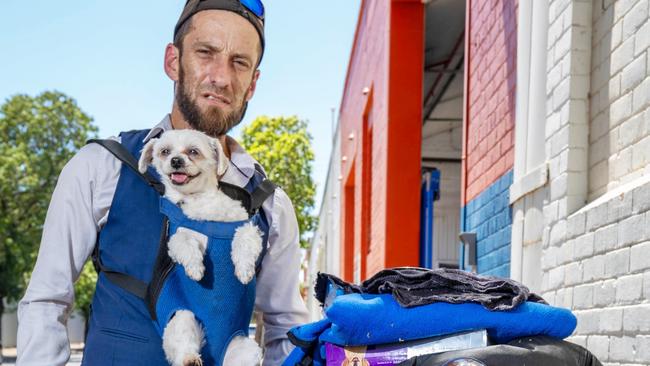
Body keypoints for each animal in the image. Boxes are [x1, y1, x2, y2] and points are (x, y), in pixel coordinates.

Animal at [138, 129, 262, 366]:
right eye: (165, 151)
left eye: (193, 151)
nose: (176, 160)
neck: (197, 201)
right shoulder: (176, 238)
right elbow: (185, 243)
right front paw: (196, 269)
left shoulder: (245, 225)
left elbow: (244, 239)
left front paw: (244, 270)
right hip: (183, 317)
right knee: (183, 344)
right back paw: (189, 359)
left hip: (246, 347)